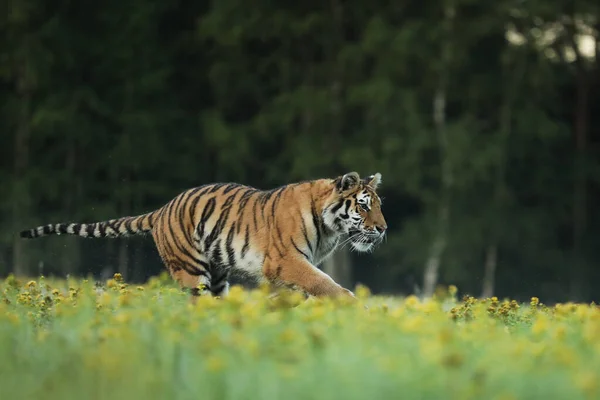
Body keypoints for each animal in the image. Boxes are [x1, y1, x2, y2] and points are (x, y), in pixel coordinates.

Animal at [18, 171, 386, 300]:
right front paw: (352, 304)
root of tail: (162, 209)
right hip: (190, 270)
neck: (330, 228)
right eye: (364, 206)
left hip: (218, 271)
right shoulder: (287, 262)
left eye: (379, 206)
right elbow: (323, 282)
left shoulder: (282, 271)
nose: (383, 228)